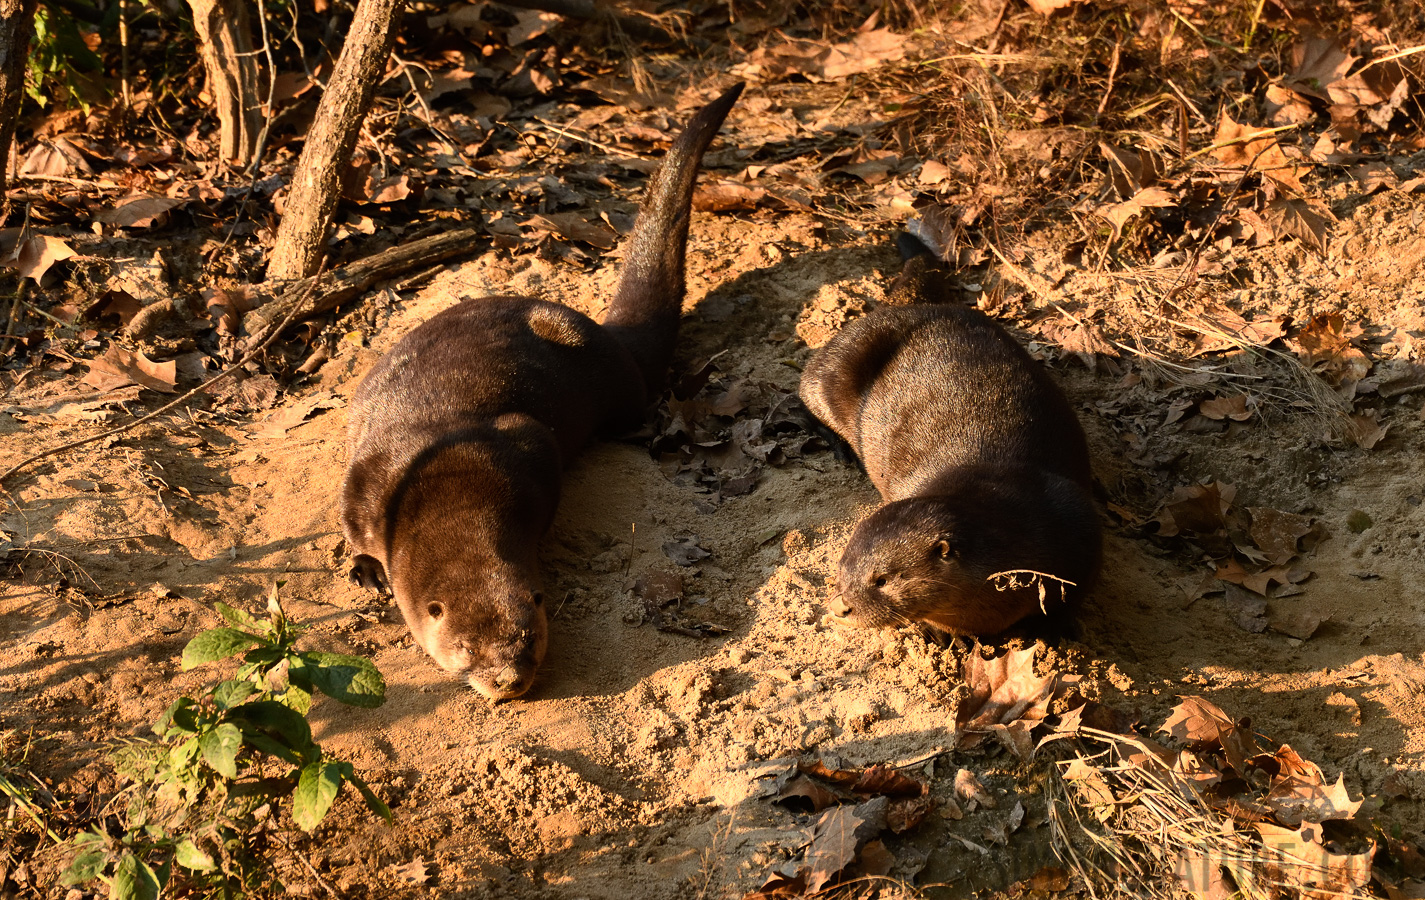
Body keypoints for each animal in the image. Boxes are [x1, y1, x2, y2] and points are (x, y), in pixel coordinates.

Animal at [340, 84, 746, 700]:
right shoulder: (369, 481)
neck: (445, 485)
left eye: (527, 636)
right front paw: (367, 569)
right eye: (465, 649)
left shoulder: (526, 445)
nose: (507, 680)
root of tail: (606, 335)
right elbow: (352, 525)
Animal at [803, 234, 1100, 635]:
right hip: (838, 361)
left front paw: (1050, 632)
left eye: (882, 579)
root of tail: (912, 308)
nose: (839, 606)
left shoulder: (1078, 525)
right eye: (841, 570)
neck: (1021, 534)